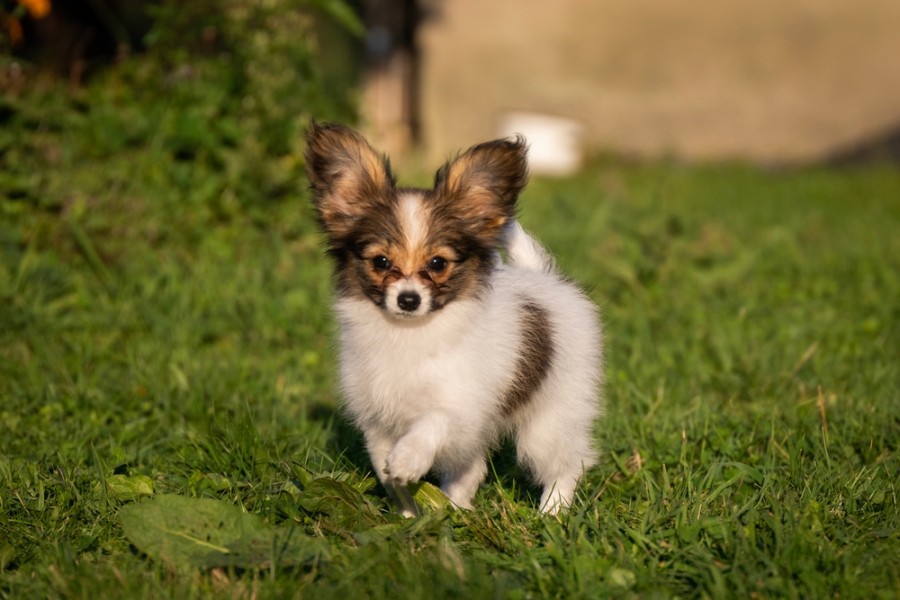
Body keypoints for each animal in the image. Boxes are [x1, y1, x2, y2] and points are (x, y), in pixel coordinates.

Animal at [304, 123, 604, 516]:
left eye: (437, 264)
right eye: (381, 262)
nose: (409, 299)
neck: (409, 334)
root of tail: (544, 279)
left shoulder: (462, 406)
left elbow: (433, 421)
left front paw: (409, 459)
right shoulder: (377, 421)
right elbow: (388, 474)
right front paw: (408, 514)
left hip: (549, 419)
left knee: (567, 464)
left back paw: (552, 512)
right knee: (473, 468)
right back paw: (456, 505)